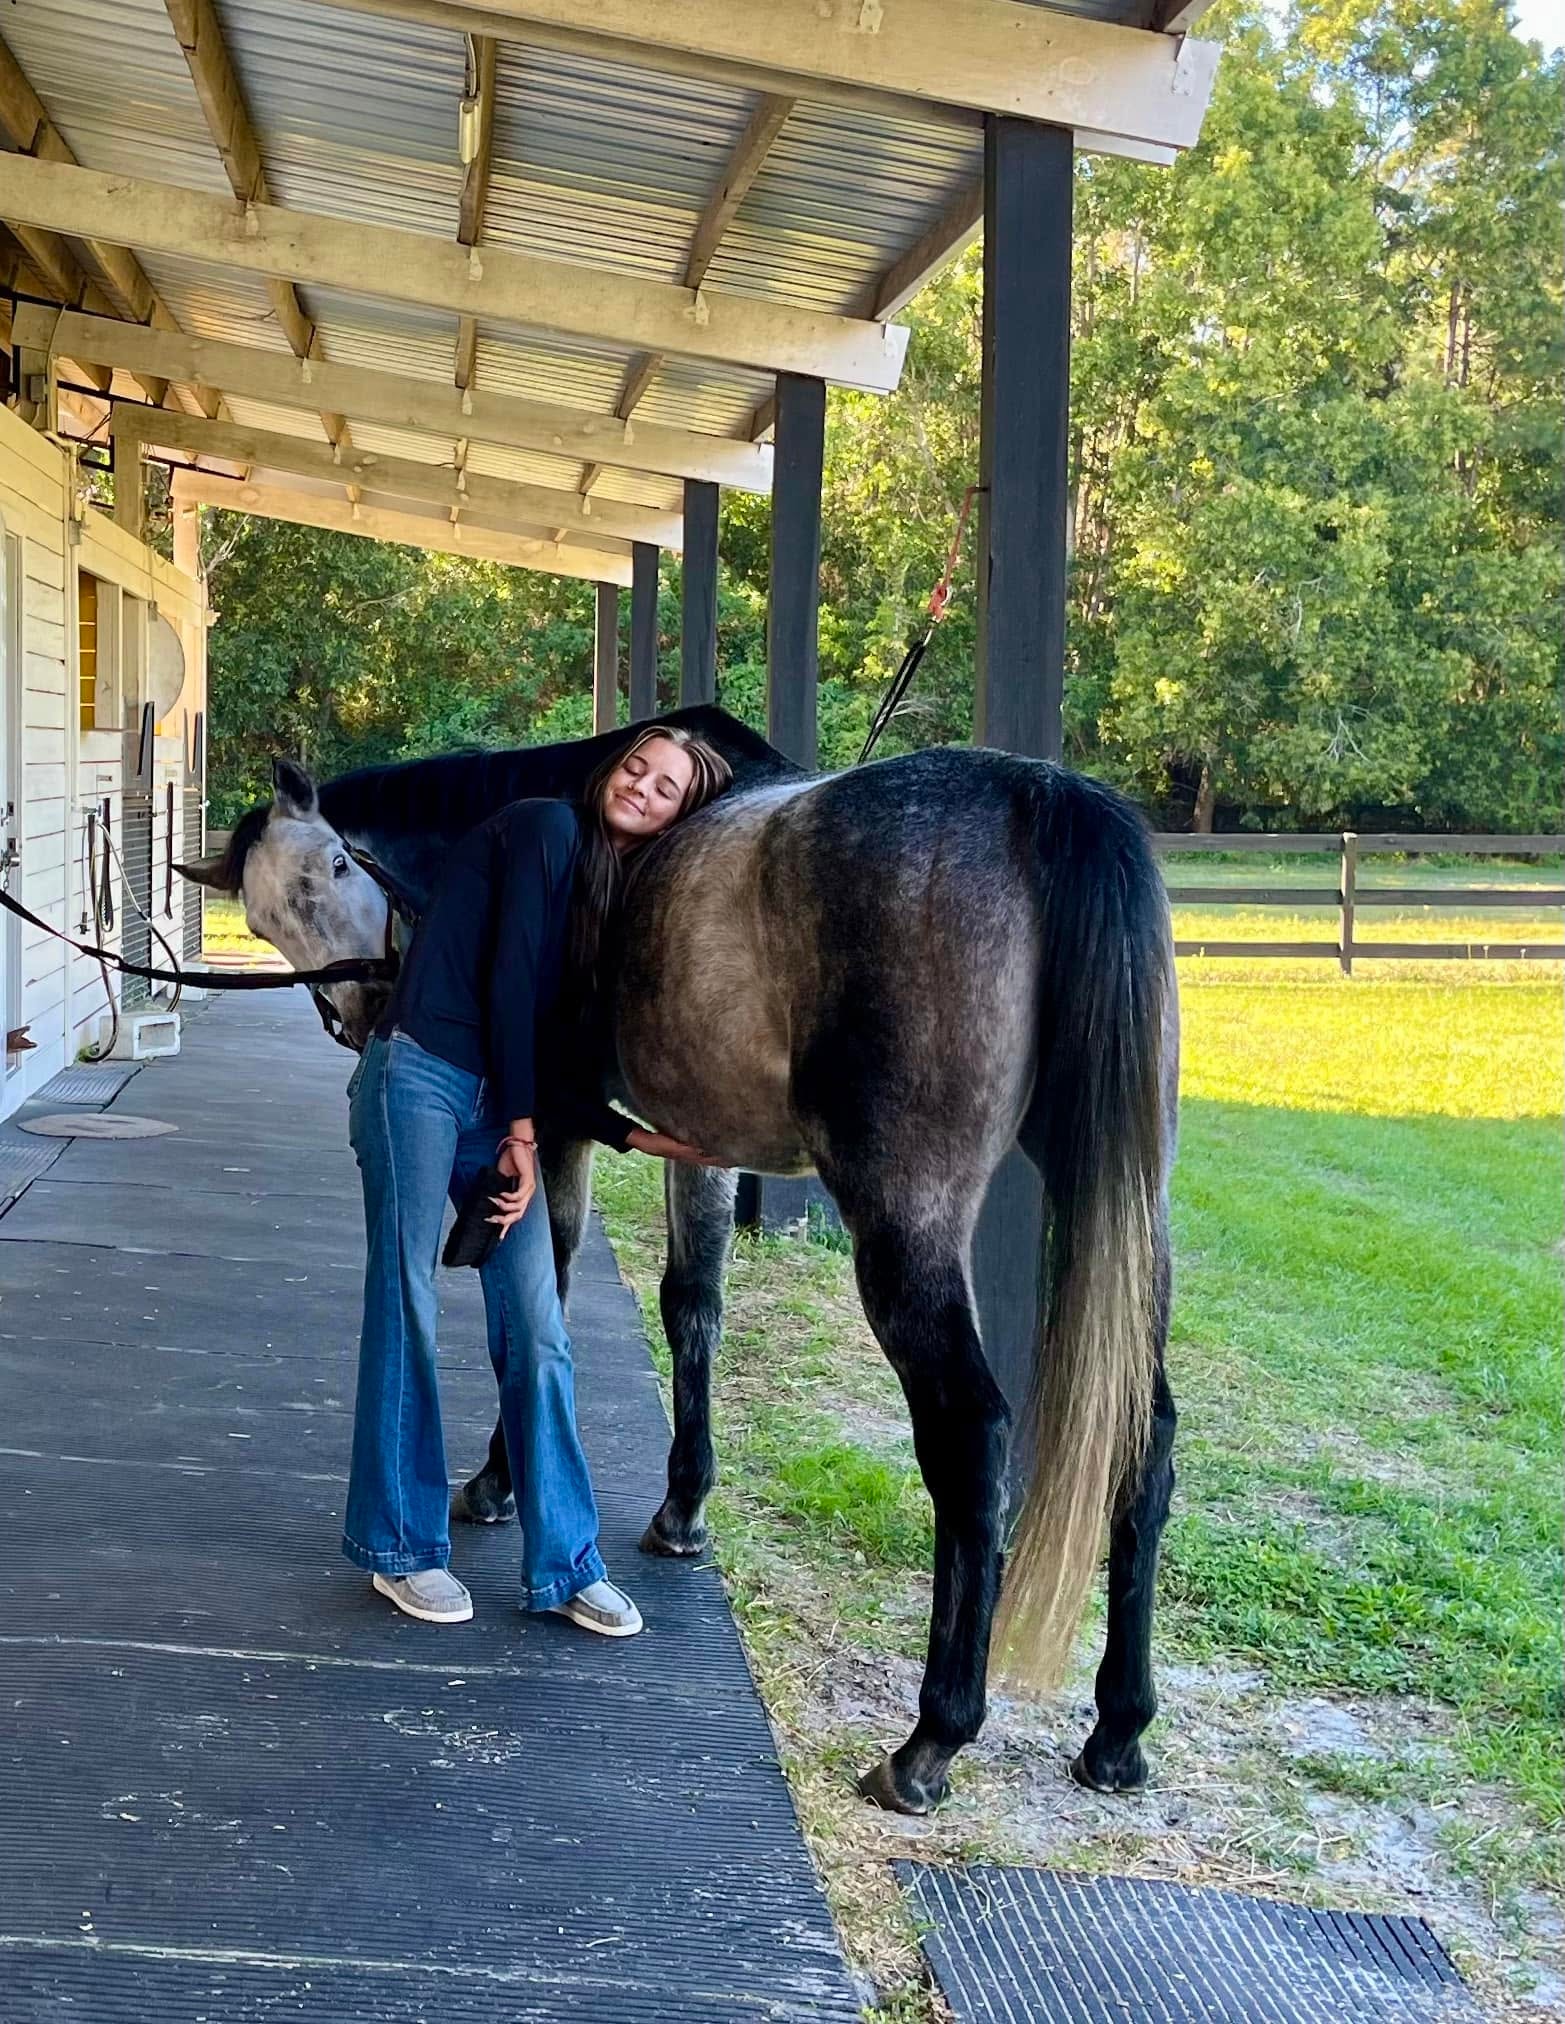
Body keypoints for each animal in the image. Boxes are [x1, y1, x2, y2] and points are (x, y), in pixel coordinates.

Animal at [182, 705, 1180, 1816]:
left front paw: (496, 1481)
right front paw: (682, 1508)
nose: (362, 1015)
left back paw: (930, 1741)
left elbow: (545, 1281)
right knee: (1145, 1429)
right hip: (1123, 1202)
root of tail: (1036, 796)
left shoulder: (557, 1121)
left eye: (332, 867)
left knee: (970, 1436)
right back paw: (1117, 1730)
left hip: (906, 1222)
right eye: (263, 920)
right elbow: (691, 1303)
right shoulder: (697, 1140)